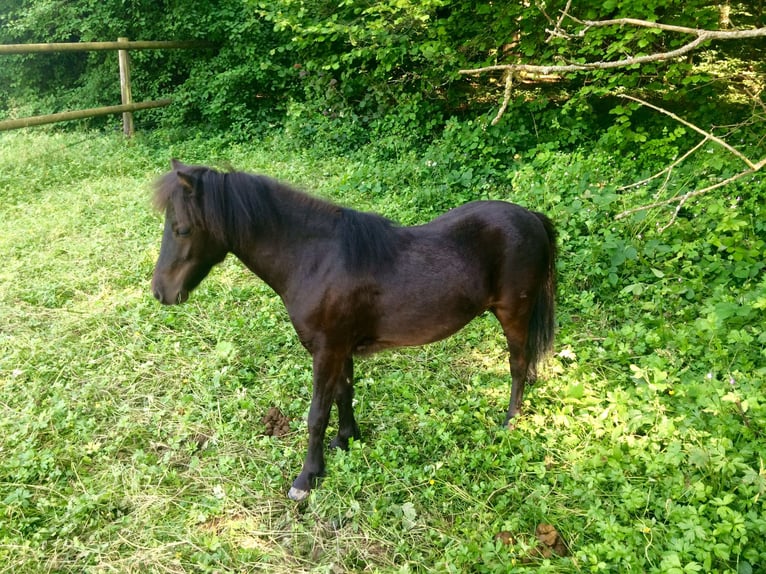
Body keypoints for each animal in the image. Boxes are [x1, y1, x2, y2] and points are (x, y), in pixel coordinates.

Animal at [152, 160, 560, 502]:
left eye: (181, 229)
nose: (160, 292)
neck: (316, 259)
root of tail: (530, 217)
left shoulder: (326, 350)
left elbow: (317, 413)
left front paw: (307, 478)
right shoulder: (340, 348)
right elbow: (343, 395)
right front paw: (346, 439)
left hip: (514, 314)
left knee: (517, 365)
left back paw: (509, 421)